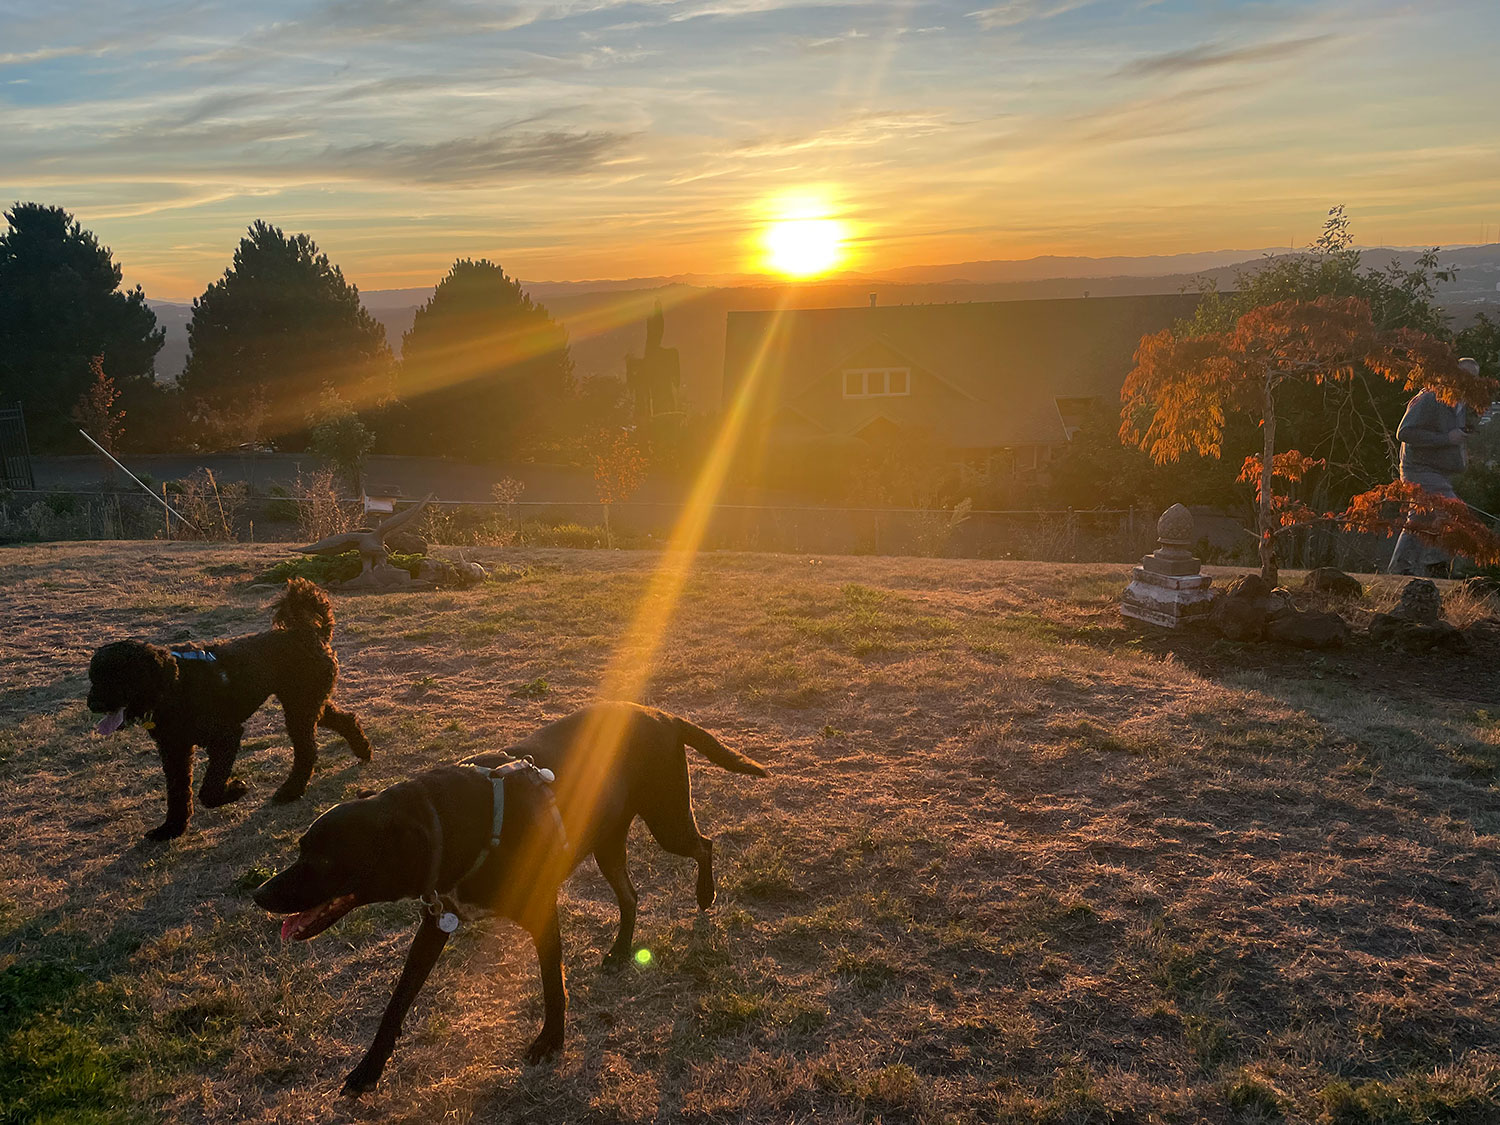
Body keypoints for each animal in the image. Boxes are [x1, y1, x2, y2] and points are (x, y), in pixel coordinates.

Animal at [86, 582, 370, 840]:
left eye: (120, 676)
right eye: (94, 676)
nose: (93, 704)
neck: (174, 684)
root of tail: (309, 632)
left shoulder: (225, 737)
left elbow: (208, 791)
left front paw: (235, 789)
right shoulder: (174, 749)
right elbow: (178, 792)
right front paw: (171, 829)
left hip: (299, 708)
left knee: (307, 750)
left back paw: (291, 790)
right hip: (307, 703)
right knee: (344, 719)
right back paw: (363, 750)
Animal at [253, 705, 768, 1104]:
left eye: (320, 860)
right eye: (300, 849)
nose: (258, 895)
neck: (453, 825)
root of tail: (662, 714)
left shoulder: (542, 912)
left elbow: (553, 987)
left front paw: (551, 1042)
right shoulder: (436, 922)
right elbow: (397, 1004)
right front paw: (368, 1069)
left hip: (666, 821)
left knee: (705, 846)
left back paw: (704, 894)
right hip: (608, 842)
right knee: (631, 895)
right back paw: (622, 950)